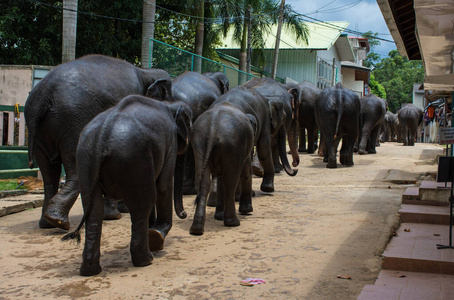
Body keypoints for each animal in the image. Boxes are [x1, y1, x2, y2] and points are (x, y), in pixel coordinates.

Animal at [24, 54, 172, 230]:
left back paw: (48, 223)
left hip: (40, 129)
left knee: (48, 173)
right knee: (75, 168)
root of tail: (43, 93)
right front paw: (115, 215)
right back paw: (58, 221)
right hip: (72, 121)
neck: (145, 71)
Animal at [61, 95, 192, 276]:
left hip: (85, 158)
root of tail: (103, 133)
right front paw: (156, 236)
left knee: (94, 209)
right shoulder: (170, 142)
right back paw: (146, 260)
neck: (169, 104)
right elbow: (164, 186)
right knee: (142, 203)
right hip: (134, 158)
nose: (185, 213)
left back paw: (90, 270)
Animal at [190, 102, 258, 236]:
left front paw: (218, 216)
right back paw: (233, 223)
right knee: (230, 182)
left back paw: (196, 229)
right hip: (233, 144)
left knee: (204, 182)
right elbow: (246, 173)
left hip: (199, 142)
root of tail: (213, 128)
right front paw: (247, 211)